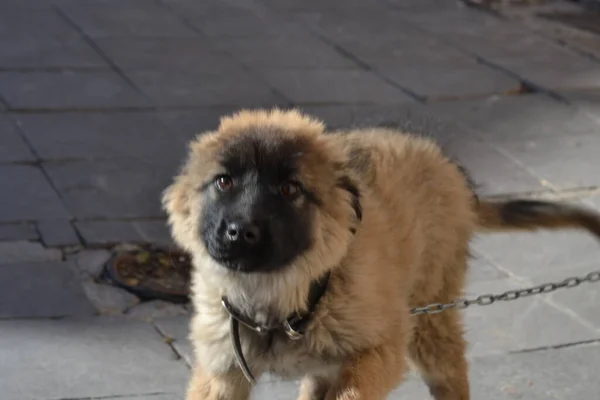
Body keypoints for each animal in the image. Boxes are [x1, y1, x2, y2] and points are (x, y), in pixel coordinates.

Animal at [162, 108, 600, 398]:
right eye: (224, 182)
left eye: (289, 189)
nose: (240, 231)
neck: (279, 301)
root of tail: (446, 164)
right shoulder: (221, 369)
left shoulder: (380, 351)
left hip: (431, 321)